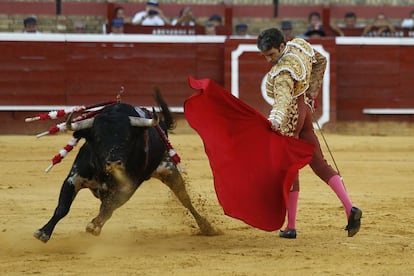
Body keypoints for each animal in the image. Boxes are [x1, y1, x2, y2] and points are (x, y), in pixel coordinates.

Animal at [33, 94, 217, 242]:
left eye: (127, 137)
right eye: (98, 137)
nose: (114, 163)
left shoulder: (129, 186)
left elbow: (110, 206)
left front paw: (94, 225)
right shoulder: (74, 178)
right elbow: (62, 207)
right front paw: (43, 232)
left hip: (169, 169)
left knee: (184, 198)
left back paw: (206, 226)